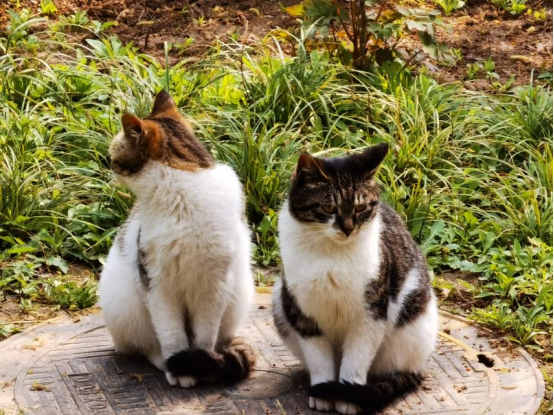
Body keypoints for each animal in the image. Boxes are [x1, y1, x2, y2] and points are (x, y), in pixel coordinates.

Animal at [272, 144, 436, 415]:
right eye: (329, 208)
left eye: (361, 208)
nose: (348, 228)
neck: (332, 255)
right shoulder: (304, 314)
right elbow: (318, 358)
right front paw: (322, 391)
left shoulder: (371, 314)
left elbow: (356, 359)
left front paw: (348, 398)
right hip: (279, 301)